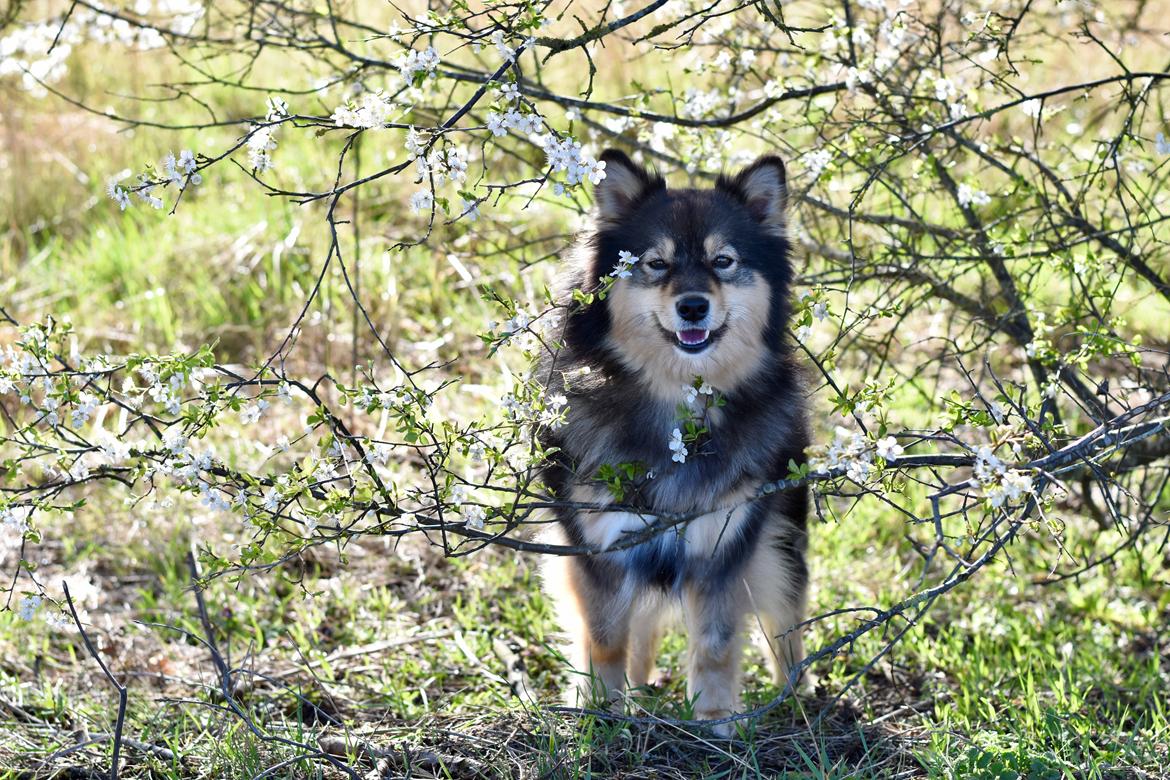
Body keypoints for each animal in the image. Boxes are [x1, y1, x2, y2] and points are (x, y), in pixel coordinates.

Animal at [535, 149, 809, 734]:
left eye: (723, 261)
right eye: (656, 264)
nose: (693, 307)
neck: (678, 408)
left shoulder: (725, 543)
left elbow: (715, 643)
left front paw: (716, 719)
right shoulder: (602, 547)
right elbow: (607, 641)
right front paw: (602, 713)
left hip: (782, 540)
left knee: (787, 626)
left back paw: (796, 702)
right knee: (640, 633)